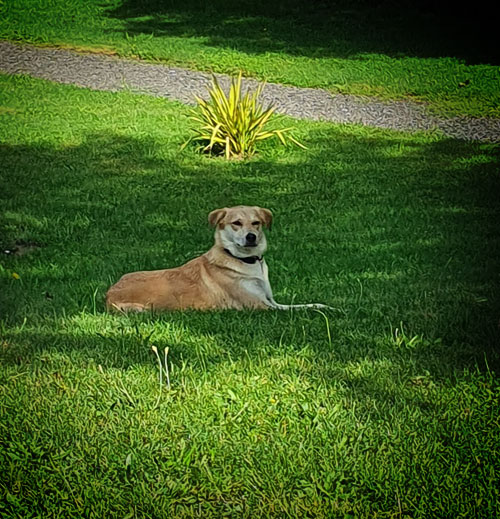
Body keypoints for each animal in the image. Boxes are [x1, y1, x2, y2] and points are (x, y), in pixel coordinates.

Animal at [106, 206, 328, 312]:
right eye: (236, 223)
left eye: (256, 223)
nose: (251, 237)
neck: (246, 262)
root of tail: (108, 294)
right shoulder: (260, 306)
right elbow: (295, 311)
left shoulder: (271, 301)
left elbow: (303, 306)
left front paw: (323, 306)